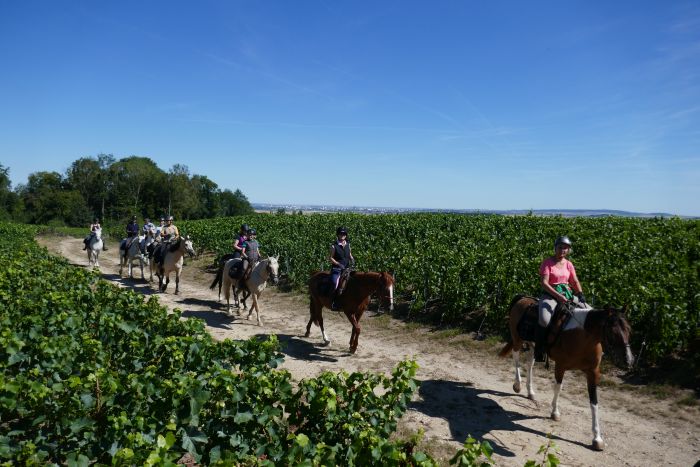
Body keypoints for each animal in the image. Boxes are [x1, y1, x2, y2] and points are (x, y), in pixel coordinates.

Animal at [498, 296, 636, 454]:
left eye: (629, 329)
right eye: (612, 331)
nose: (628, 360)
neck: (582, 336)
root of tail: (523, 298)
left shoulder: (593, 372)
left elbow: (594, 402)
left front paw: (597, 439)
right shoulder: (560, 366)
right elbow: (558, 388)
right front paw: (555, 413)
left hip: (534, 346)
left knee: (530, 364)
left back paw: (530, 392)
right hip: (517, 339)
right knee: (516, 358)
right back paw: (517, 385)